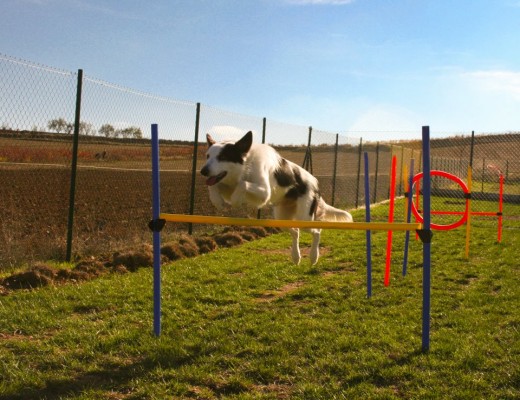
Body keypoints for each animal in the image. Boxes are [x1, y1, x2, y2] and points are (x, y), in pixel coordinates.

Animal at [200, 131, 354, 266]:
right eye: (207, 156)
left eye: (222, 157)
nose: (203, 171)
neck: (245, 166)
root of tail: (316, 185)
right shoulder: (225, 184)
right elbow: (213, 186)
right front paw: (217, 201)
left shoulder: (264, 192)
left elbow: (242, 185)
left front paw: (236, 200)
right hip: (282, 217)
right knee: (295, 232)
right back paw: (296, 257)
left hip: (304, 217)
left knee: (317, 231)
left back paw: (313, 257)